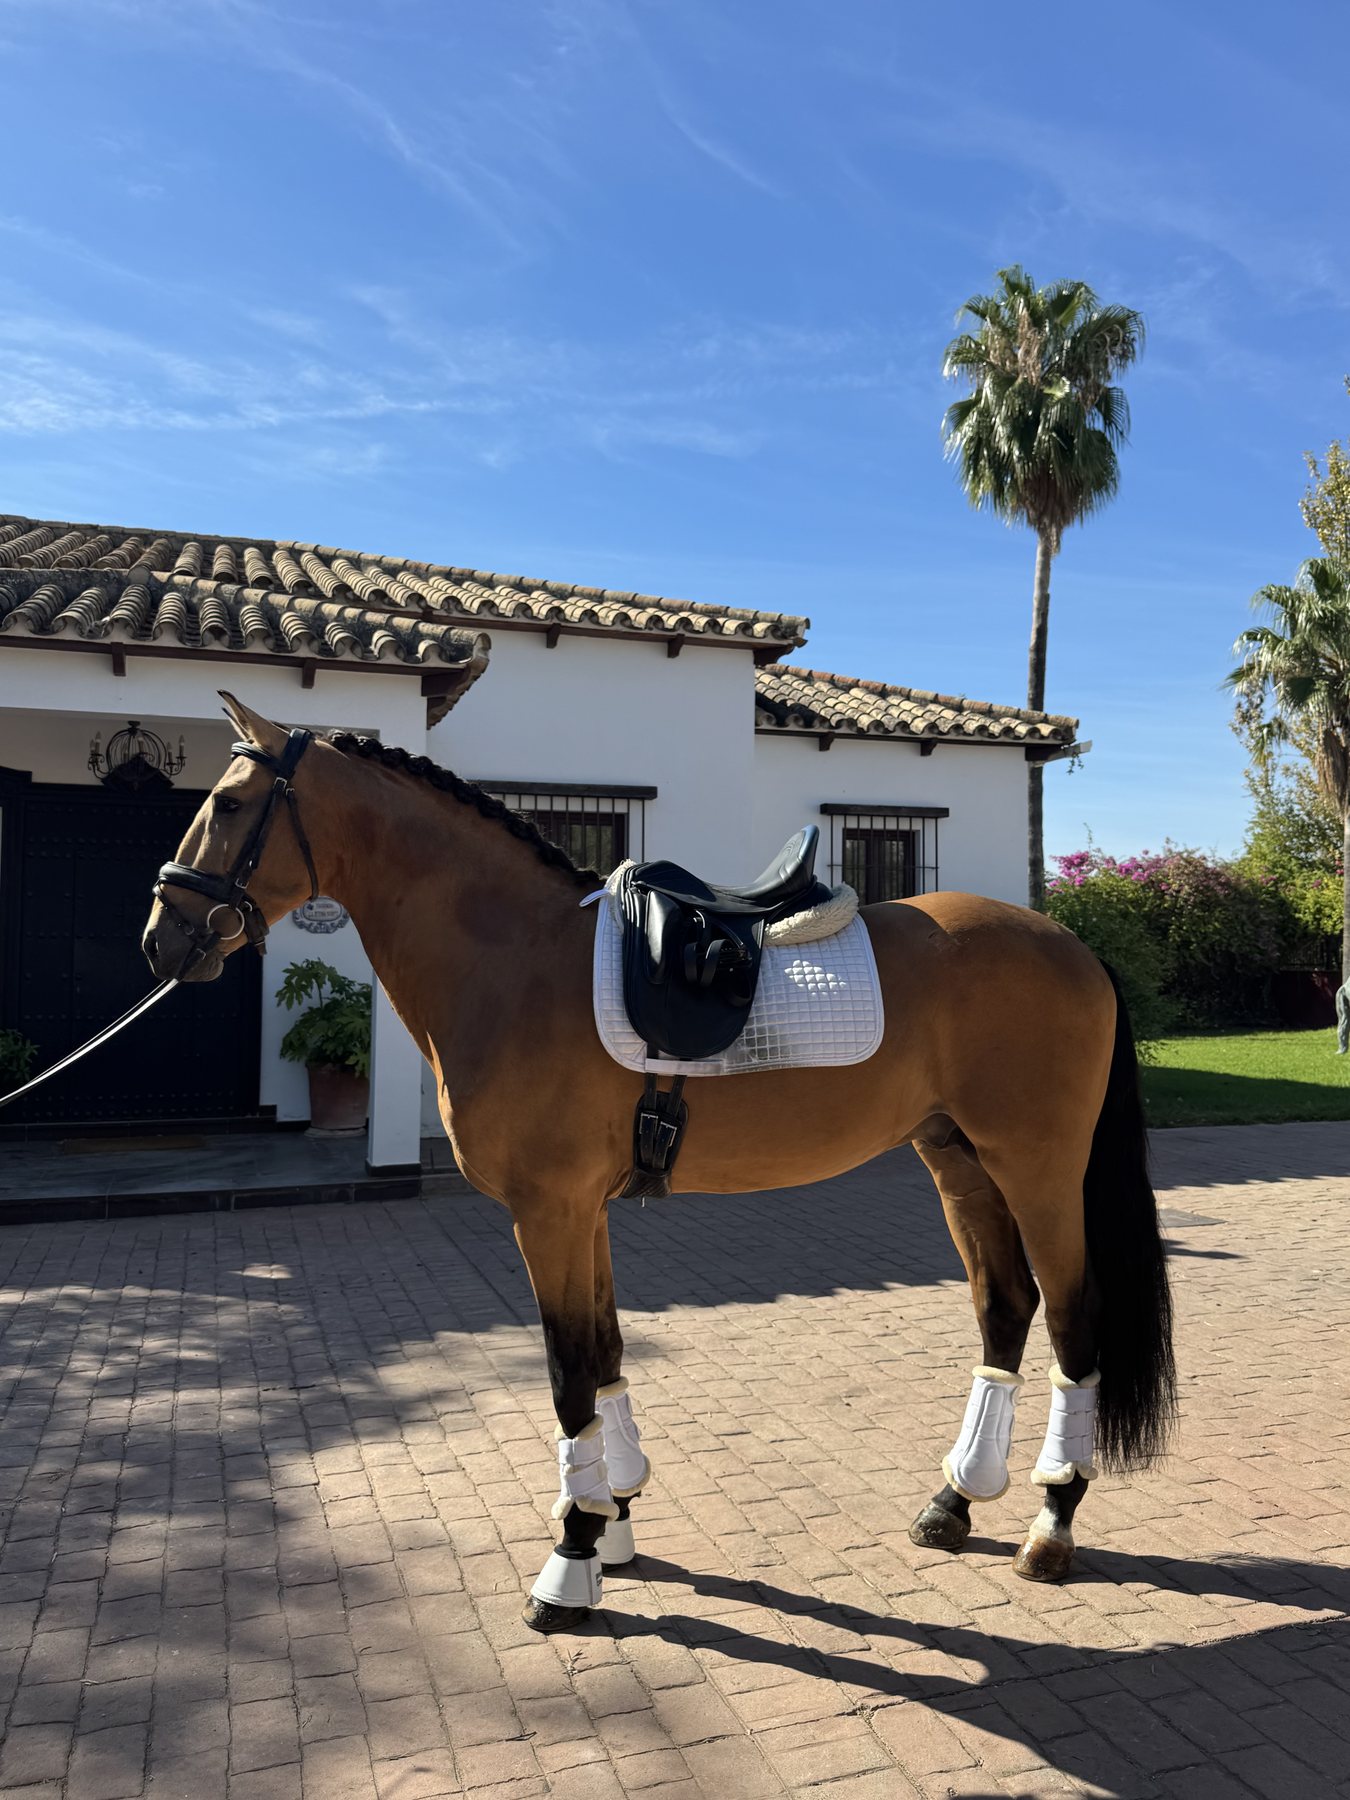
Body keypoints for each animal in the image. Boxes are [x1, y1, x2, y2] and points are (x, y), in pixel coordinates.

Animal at [141, 694, 1175, 1634]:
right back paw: (955, 1501)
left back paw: (1052, 1521)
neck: (516, 960)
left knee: (1074, 1320)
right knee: (1005, 1306)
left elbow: (568, 1373)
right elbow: (603, 1352)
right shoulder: (579, 1210)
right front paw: (612, 1515)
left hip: (1038, 1168)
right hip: (958, 1159)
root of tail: (1072, 947)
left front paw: (569, 1563)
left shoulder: (548, 1209)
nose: (163, 940)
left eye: (229, 803)